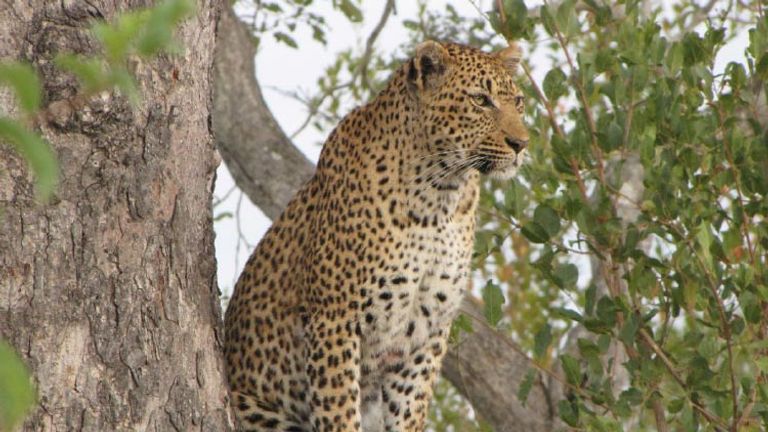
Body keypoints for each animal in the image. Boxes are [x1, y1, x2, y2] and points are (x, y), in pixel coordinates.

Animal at [224, 40, 530, 432]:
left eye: (518, 102)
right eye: (480, 100)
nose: (521, 143)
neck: (440, 196)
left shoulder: (426, 335)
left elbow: (410, 410)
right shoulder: (335, 319)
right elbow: (338, 410)